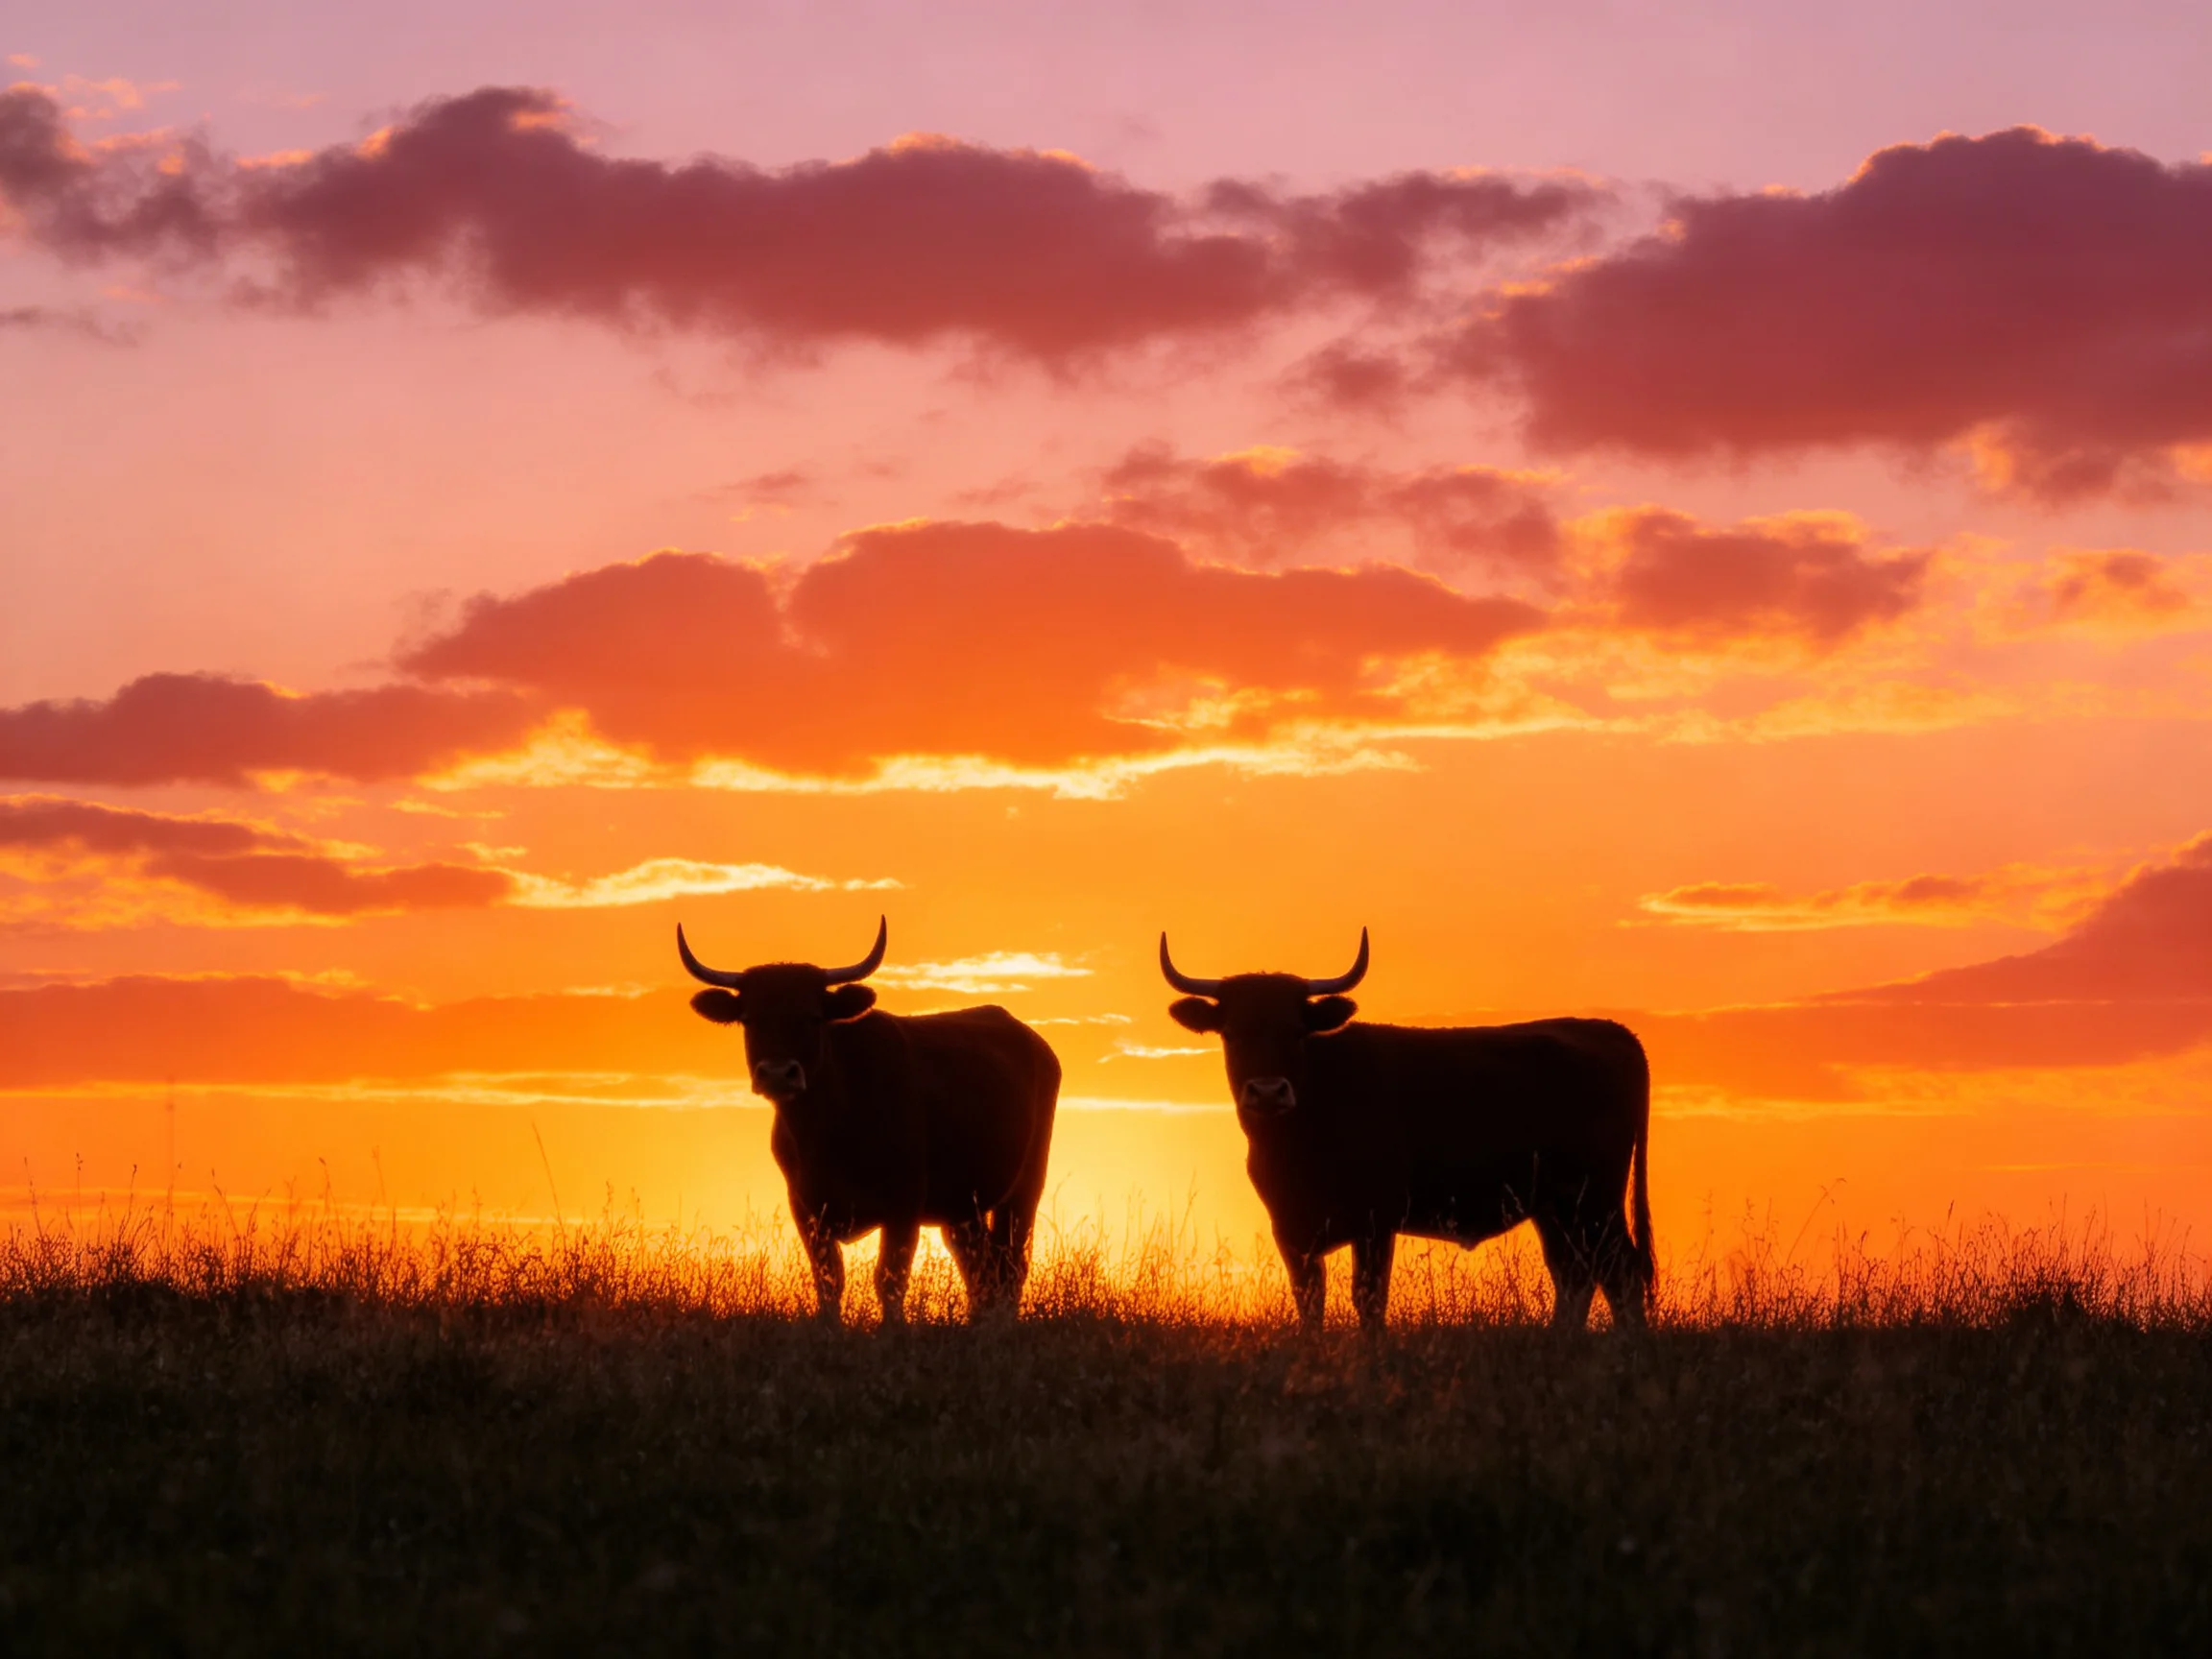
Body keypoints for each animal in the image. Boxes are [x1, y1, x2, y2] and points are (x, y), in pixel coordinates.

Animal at [678, 917, 1060, 1326]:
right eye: (750, 1020)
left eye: (813, 1017)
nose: (779, 1074)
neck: (828, 1131)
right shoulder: (806, 1208)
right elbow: (829, 1278)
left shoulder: (905, 1202)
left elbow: (890, 1277)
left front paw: (893, 1330)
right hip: (962, 1207)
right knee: (978, 1265)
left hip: (1023, 1189)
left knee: (1011, 1263)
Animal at [1159, 930, 1652, 1333]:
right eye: (1232, 1033)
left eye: (1297, 1032)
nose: (1267, 1092)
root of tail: (1608, 1030)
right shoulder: (1290, 1228)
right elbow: (1309, 1301)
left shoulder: (1375, 1220)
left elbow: (1369, 1299)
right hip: (1556, 1208)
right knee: (1576, 1274)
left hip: (1594, 1200)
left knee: (1619, 1273)